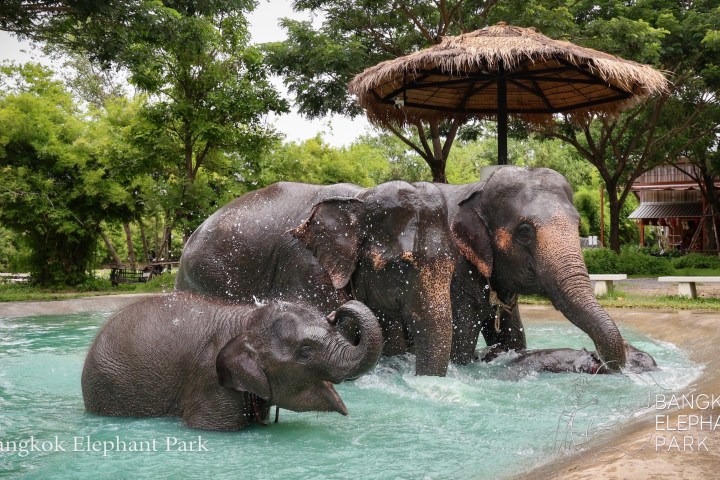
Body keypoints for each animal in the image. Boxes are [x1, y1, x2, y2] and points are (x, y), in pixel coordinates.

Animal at [437, 166, 628, 370]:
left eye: (578, 224)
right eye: (524, 231)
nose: (595, 356)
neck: (478, 188)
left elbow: (513, 340)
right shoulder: (456, 277)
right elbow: (459, 348)